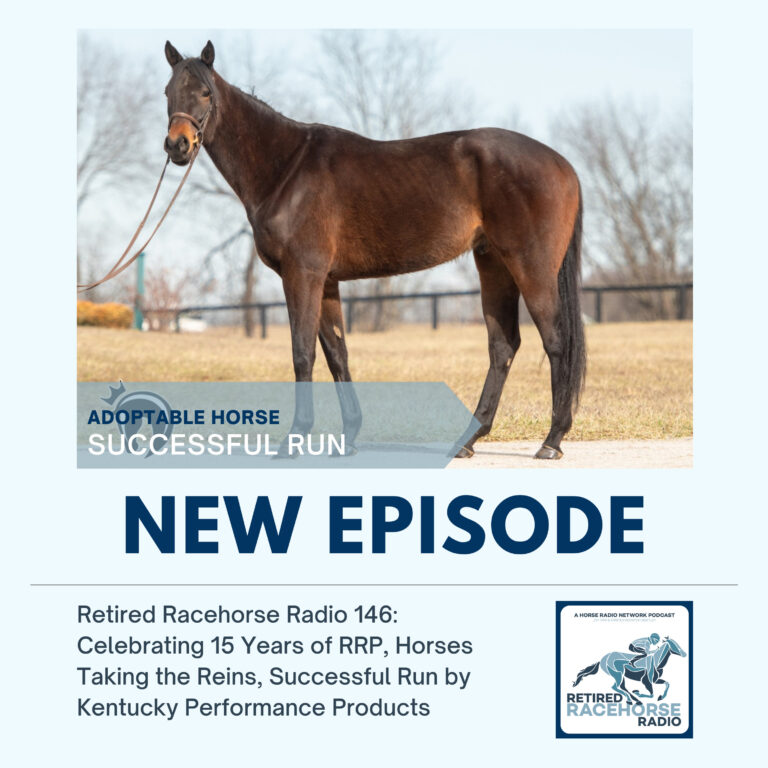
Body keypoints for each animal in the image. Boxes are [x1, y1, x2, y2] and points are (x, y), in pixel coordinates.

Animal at [162, 40, 586, 459]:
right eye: (168, 92)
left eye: (205, 93)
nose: (177, 145)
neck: (285, 168)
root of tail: (563, 165)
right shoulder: (327, 282)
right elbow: (337, 354)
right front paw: (348, 437)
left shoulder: (302, 274)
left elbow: (303, 353)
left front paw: (294, 439)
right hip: (494, 265)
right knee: (503, 346)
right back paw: (467, 440)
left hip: (531, 268)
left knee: (556, 342)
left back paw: (552, 440)